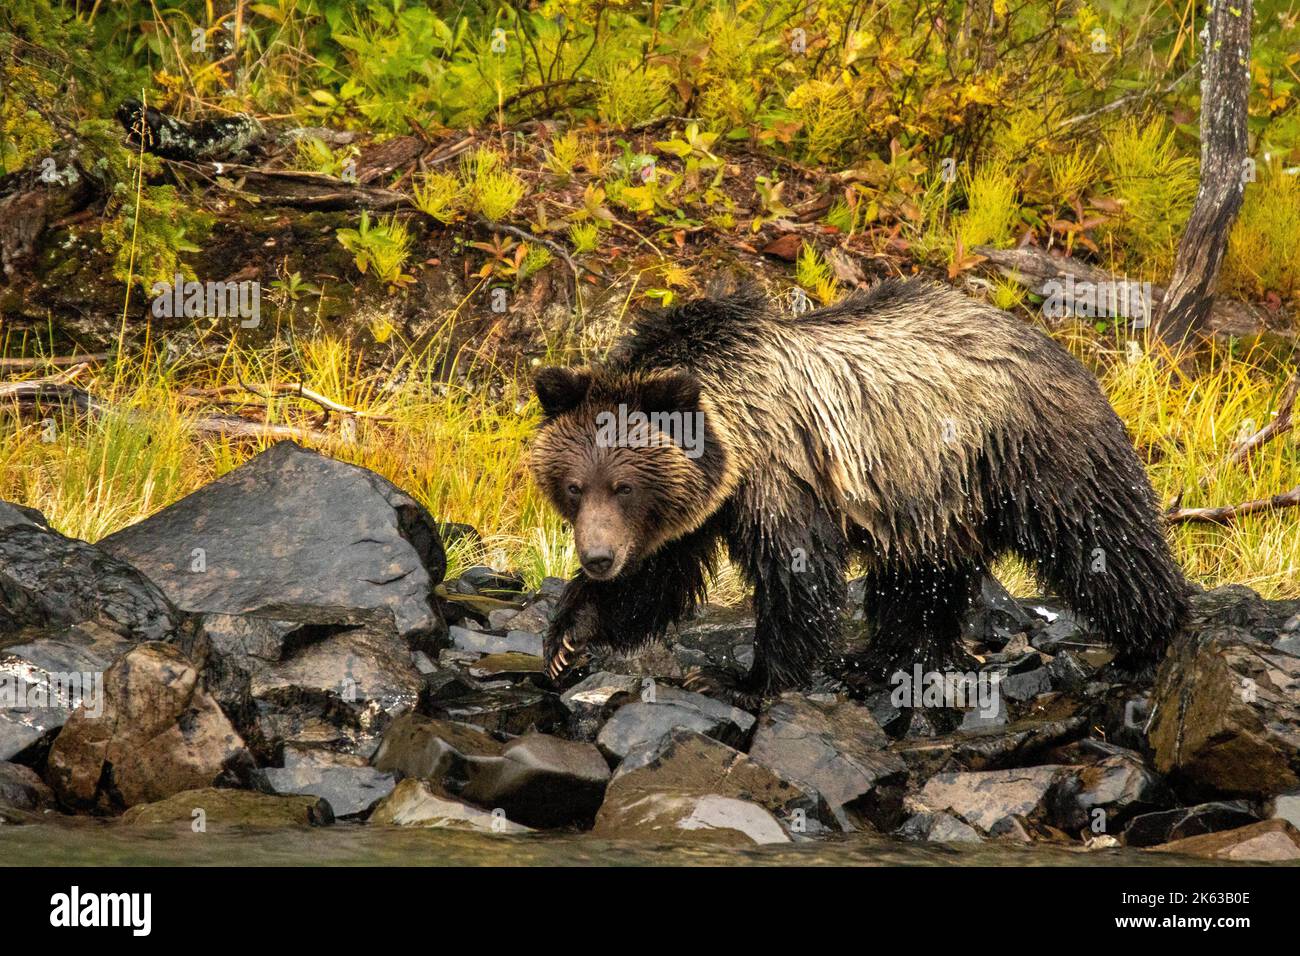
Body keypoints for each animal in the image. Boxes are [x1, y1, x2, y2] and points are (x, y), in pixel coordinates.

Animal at [527, 280, 1190, 697]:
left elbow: (795, 574)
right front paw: (569, 636)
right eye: (574, 486)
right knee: (921, 576)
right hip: (936, 492)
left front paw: (752, 679)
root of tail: (1055, 344)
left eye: (623, 485)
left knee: (1101, 539)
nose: (597, 556)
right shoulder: (698, 508)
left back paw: (1151, 639)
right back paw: (891, 656)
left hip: (1030, 450)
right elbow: (656, 577)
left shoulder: (783, 472)